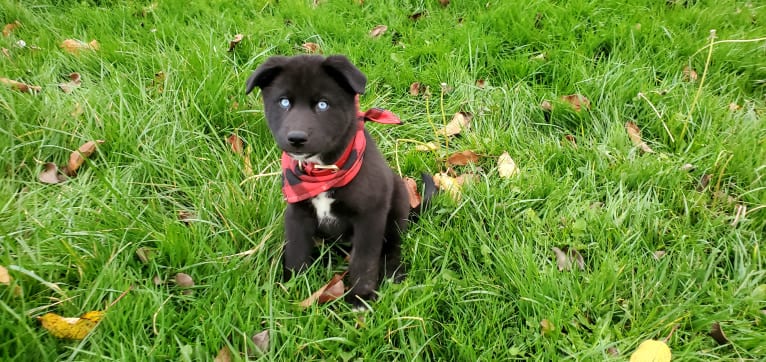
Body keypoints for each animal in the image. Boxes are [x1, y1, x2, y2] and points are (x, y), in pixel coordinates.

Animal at [246, 54, 426, 308]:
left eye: (323, 104)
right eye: (284, 102)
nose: (296, 138)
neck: (322, 172)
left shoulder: (370, 216)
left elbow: (364, 261)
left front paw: (360, 297)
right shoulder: (297, 212)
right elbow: (296, 251)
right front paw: (292, 289)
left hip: (398, 202)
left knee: (393, 246)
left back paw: (394, 274)